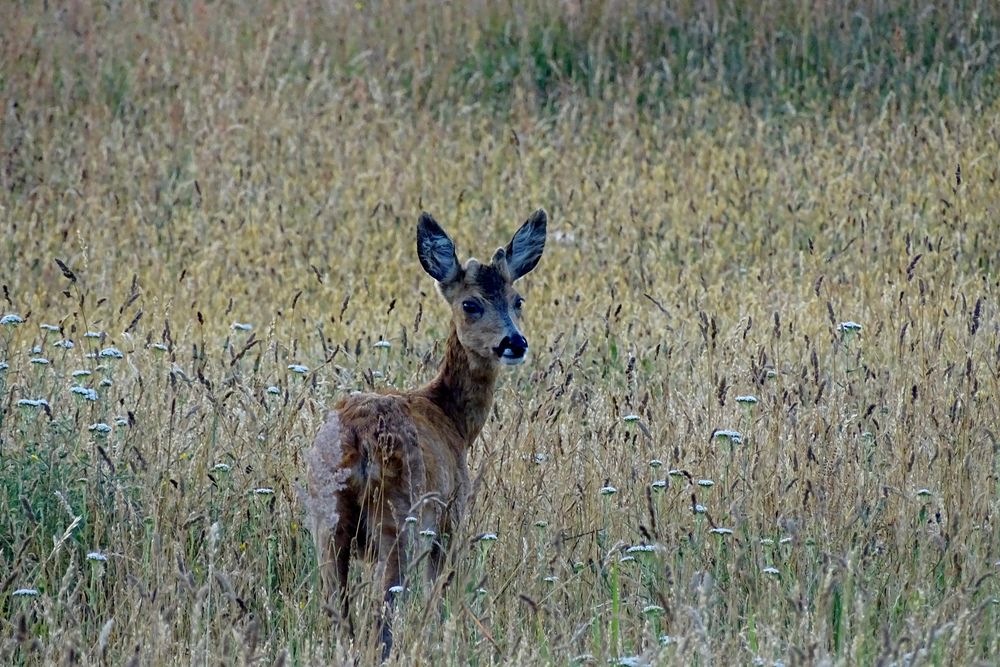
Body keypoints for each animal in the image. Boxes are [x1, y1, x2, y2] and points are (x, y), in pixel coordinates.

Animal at [308, 209, 552, 656]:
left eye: (518, 300)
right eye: (470, 304)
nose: (515, 342)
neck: (451, 419)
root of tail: (357, 441)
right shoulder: (452, 514)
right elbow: (442, 590)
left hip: (326, 519)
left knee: (337, 608)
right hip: (401, 516)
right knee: (383, 610)